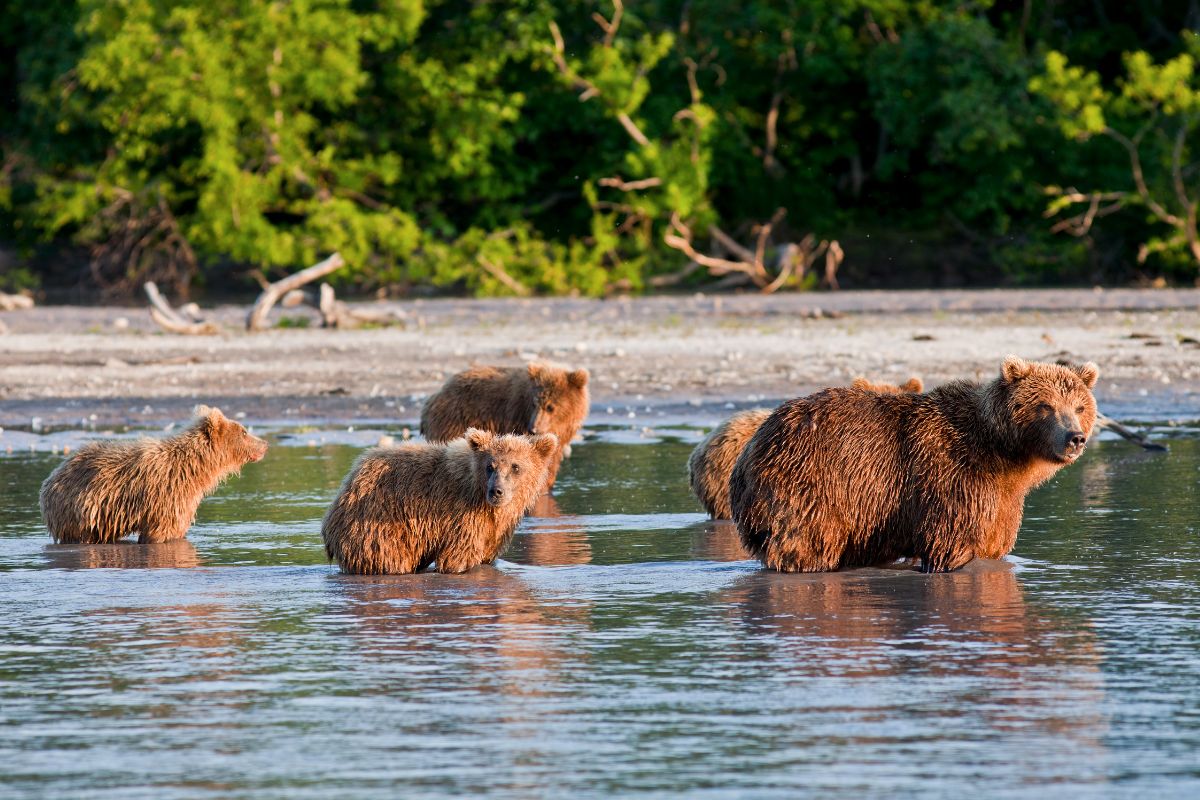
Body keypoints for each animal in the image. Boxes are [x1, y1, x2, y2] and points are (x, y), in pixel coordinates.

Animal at [42, 407, 270, 544]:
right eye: (244, 431)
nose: (265, 444)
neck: (195, 469)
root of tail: (52, 478)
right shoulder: (167, 494)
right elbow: (162, 532)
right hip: (82, 511)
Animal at [324, 431, 556, 575]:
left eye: (516, 466)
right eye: (490, 466)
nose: (496, 491)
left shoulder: (494, 530)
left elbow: (488, 555)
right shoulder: (461, 517)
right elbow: (459, 558)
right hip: (378, 525)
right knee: (391, 558)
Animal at [422, 362, 590, 489]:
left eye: (550, 407)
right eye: (535, 402)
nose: (533, 429)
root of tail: (434, 397)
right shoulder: (516, 419)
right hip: (456, 420)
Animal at [724, 359, 1099, 573]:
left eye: (1080, 406)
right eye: (1045, 405)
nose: (1075, 438)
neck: (1003, 454)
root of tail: (752, 447)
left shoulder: (1002, 500)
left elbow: (993, 544)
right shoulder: (953, 478)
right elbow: (951, 545)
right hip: (813, 485)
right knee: (807, 544)